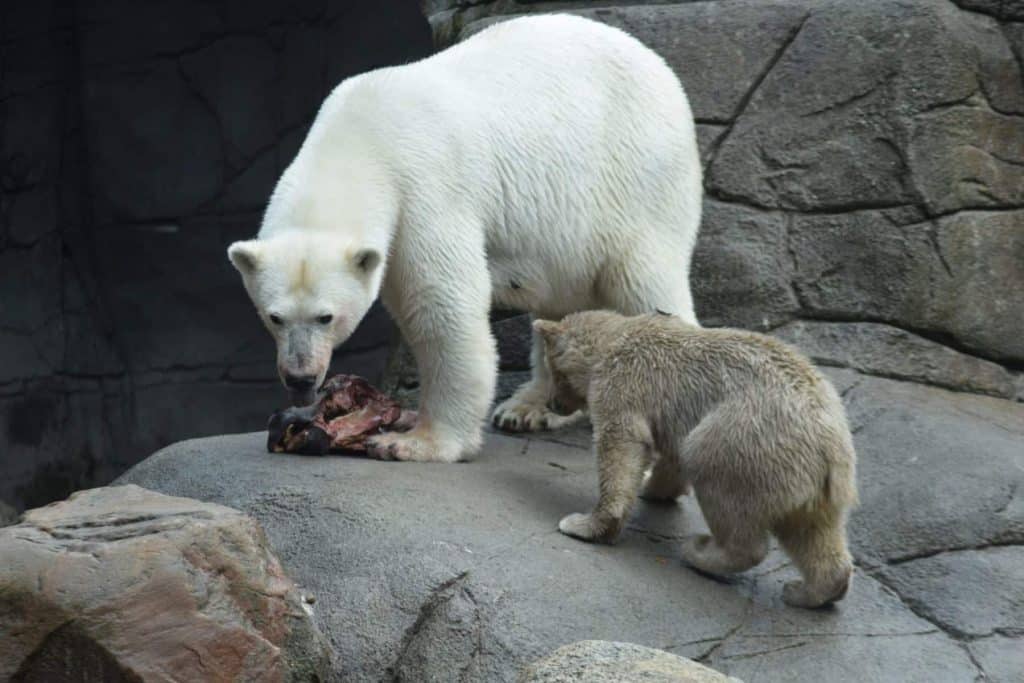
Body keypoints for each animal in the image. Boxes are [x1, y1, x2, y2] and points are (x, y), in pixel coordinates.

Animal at [228, 14, 700, 464]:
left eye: (326, 317)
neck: (358, 139)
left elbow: (441, 303)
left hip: (636, 175)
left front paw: (417, 442)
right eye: (274, 317)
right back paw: (527, 407)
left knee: (644, 281)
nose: (301, 377)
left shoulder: (424, 188)